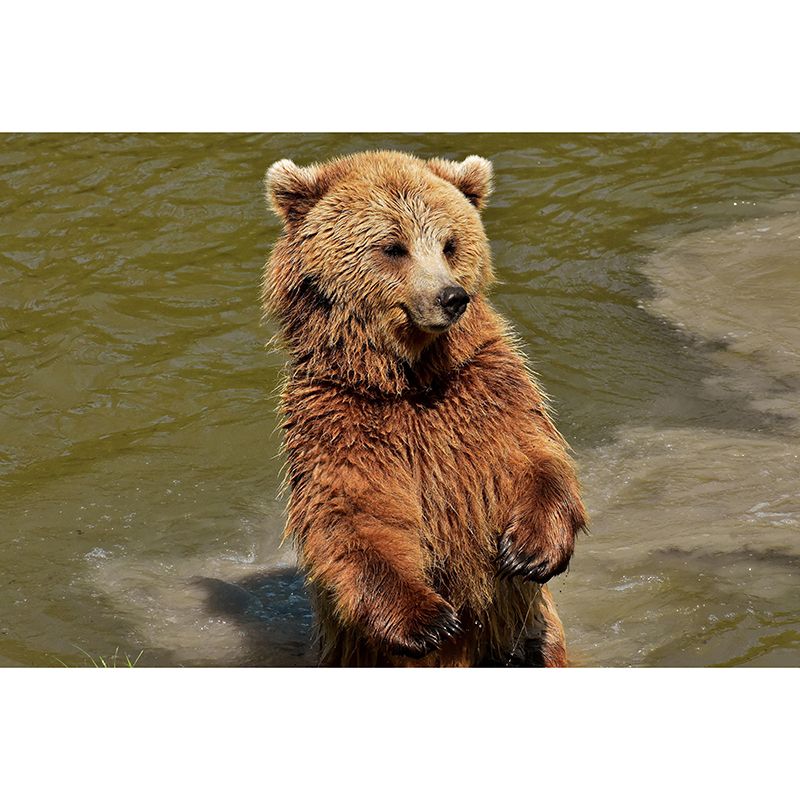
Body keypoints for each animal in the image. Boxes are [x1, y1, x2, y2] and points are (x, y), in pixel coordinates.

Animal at [262, 150, 587, 667]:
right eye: (394, 247)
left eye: (450, 244)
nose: (451, 297)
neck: (409, 380)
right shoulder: (340, 418)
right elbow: (357, 514)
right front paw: (430, 619)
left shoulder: (486, 388)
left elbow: (532, 457)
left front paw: (528, 550)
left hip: (525, 638)